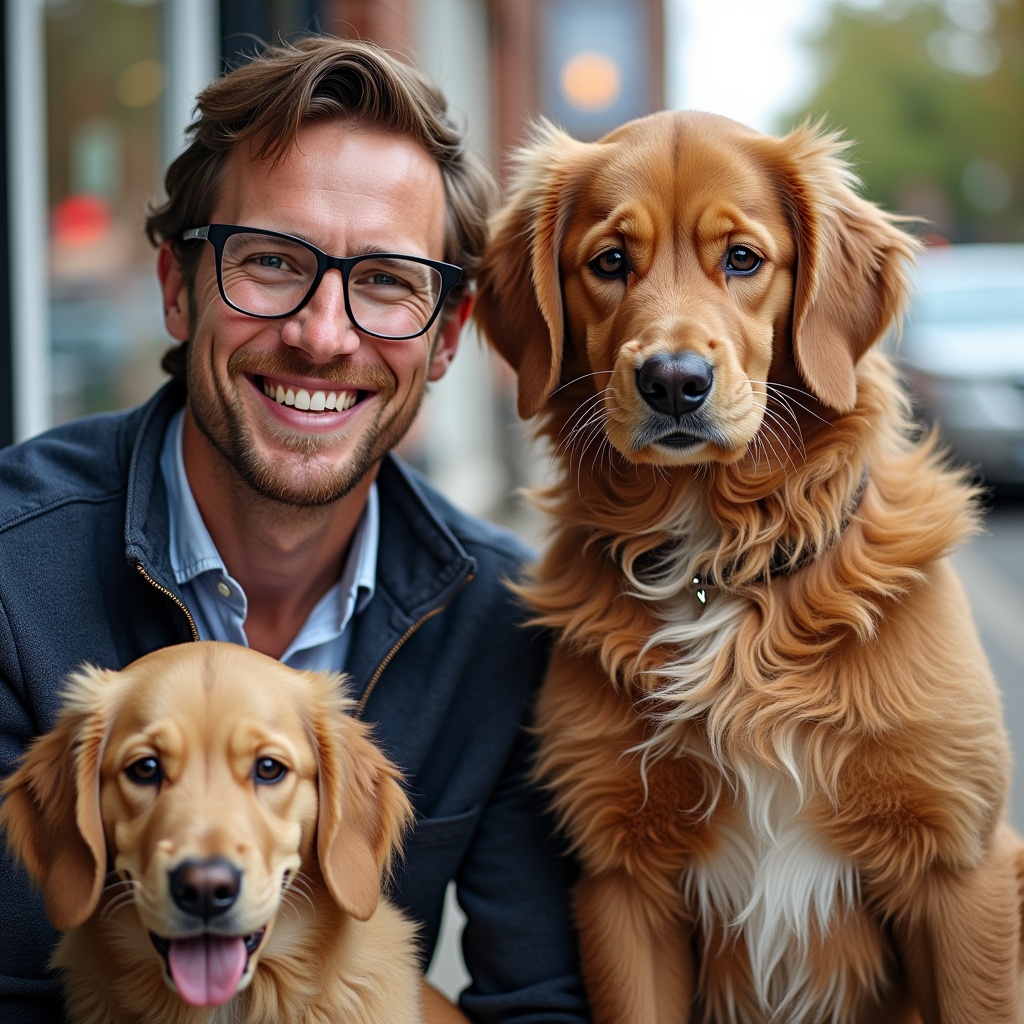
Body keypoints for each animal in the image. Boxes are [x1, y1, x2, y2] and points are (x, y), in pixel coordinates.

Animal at [473, 112, 1024, 1024]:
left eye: (741, 258)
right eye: (609, 262)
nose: (673, 381)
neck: (716, 568)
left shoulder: (960, 865)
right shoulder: (623, 883)